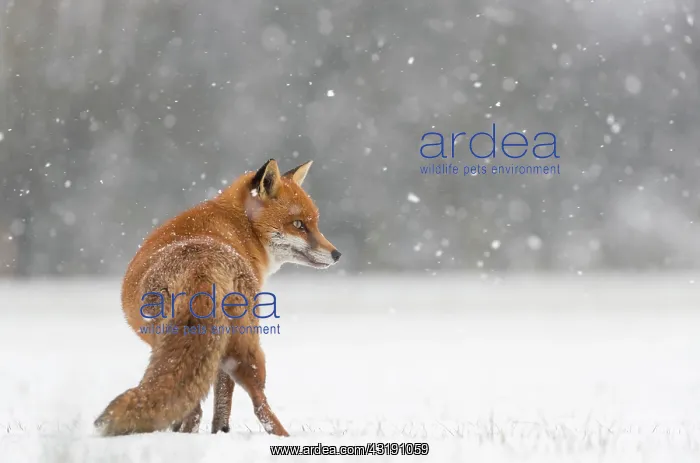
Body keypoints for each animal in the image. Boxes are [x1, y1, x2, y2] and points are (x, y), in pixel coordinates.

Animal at [94, 159, 340, 436]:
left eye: (315, 224)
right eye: (299, 225)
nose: (337, 254)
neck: (241, 227)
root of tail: (201, 264)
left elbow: (216, 398)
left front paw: (217, 432)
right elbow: (224, 397)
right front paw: (221, 431)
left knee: (196, 406)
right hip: (246, 346)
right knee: (257, 404)